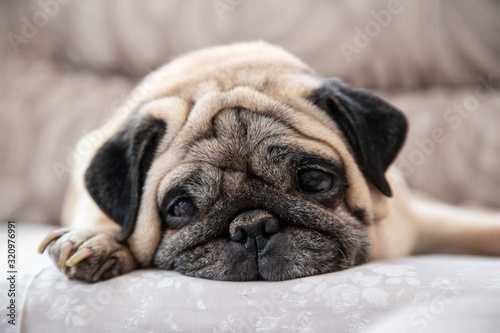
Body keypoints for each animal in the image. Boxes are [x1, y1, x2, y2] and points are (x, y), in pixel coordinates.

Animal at [38, 40, 500, 280]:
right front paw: (98, 240)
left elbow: (479, 231)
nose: (252, 226)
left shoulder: (419, 224)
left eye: (315, 181)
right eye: (181, 207)